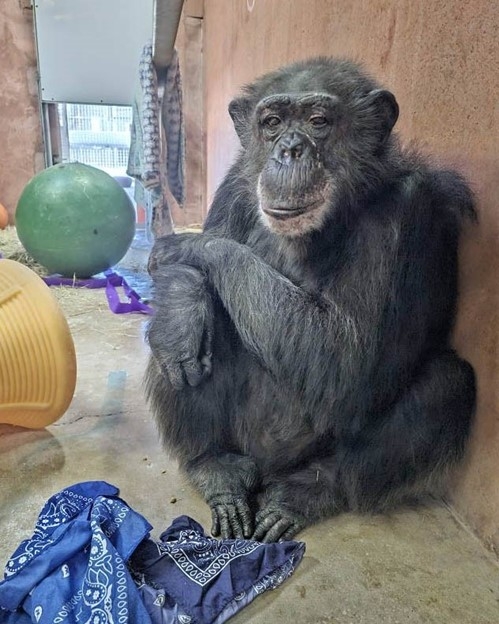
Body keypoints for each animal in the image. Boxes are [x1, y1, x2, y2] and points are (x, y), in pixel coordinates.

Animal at [144, 57, 476, 540]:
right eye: (272, 123)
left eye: (319, 122)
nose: (289, 149)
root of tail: (267, 469)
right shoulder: (234, 183)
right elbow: (188, 291)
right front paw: (182, 305)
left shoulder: (406, 211)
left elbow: (342, 355)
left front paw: (184, 246)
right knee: (189, 332)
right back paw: (216, 468)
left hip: (305, 459)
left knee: (448, 384)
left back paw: (305, 494)